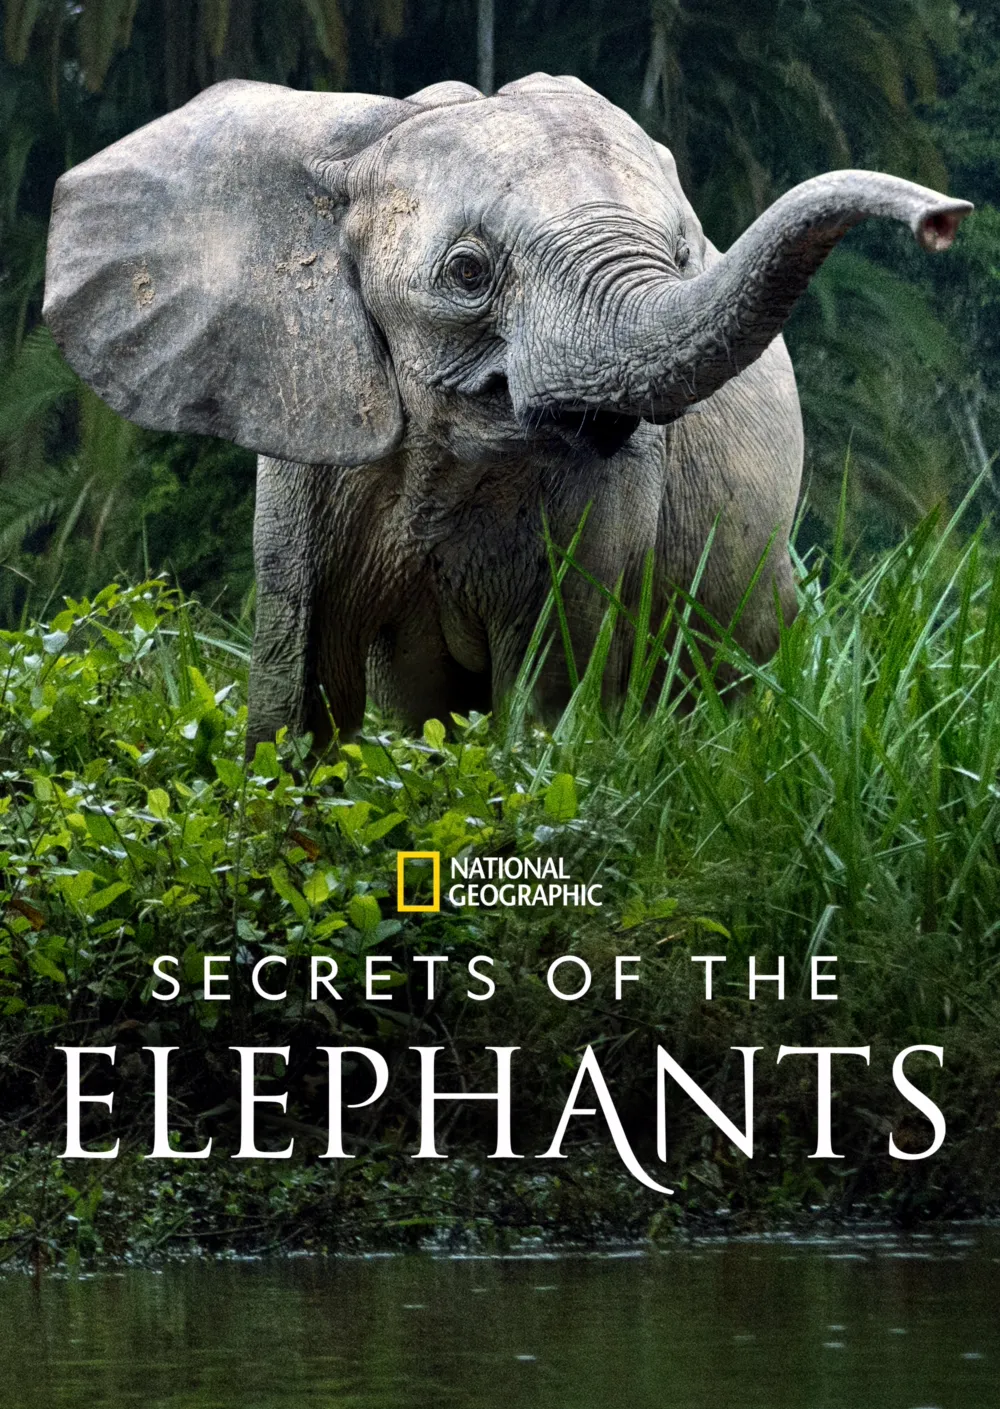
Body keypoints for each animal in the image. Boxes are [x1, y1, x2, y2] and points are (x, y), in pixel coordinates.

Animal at [42, 74, 971, 752]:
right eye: (467, 271)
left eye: (683, 257)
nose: (944, 219)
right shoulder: (310, 435)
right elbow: (300, 686)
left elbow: (548, 683)